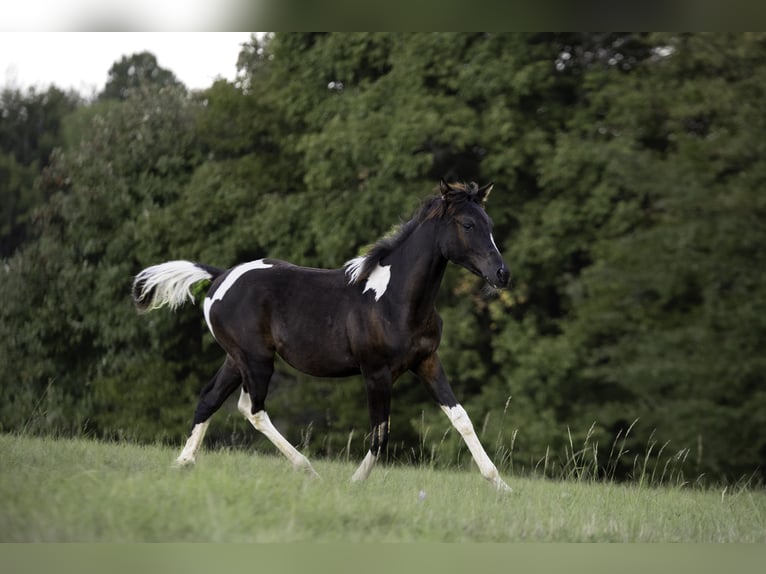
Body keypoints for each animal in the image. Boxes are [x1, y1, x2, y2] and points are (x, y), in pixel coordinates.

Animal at [132, 179, 512, 491]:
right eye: (467, 224)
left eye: (491, 225)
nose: (502, 274)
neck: (394, 300)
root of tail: (221, 276)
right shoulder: (376, 373)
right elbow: (380, 433)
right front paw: (355, 482)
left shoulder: (428, 362)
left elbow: (461, 418)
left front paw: (501, 485)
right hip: (255, 359)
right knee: (253, 409)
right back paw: (307, 469)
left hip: (236, 358)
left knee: (210, 398)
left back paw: (183, 463)